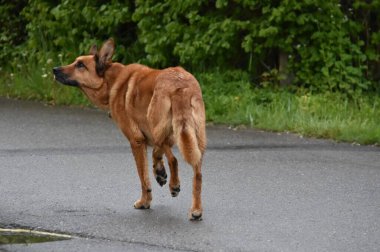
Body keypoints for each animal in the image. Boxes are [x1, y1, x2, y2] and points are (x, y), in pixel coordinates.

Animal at [52, 39, 206, 220]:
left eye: (80, 65)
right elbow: (156, 154)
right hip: (194, 140)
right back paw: (196, 210)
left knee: (173, 159)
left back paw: (174, 186)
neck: (111, 80)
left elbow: (143, 177)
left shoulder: (136, 141)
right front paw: (159, 172)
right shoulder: (158, 136)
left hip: (158, 127)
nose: (54, 69)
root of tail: (180, 85)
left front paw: (145, 201)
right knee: (197, 175)